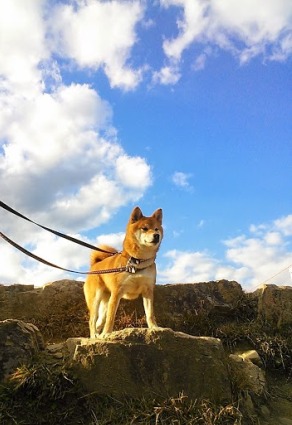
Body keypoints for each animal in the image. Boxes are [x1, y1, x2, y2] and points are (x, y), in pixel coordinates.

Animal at [83, 206, 163, 338]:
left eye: (156, 229)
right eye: (145, 228)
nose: (156, 235)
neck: (138, 261)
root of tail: (95, 265)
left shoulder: (148, 290)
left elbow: (150, 314)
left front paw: (154, 327)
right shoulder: (117, 292)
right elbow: (111, 318)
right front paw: (106, 334)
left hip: (106, 301)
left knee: (100, 320)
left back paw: (98, 334)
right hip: (96, 298)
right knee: (92, 319)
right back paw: (94, 336)